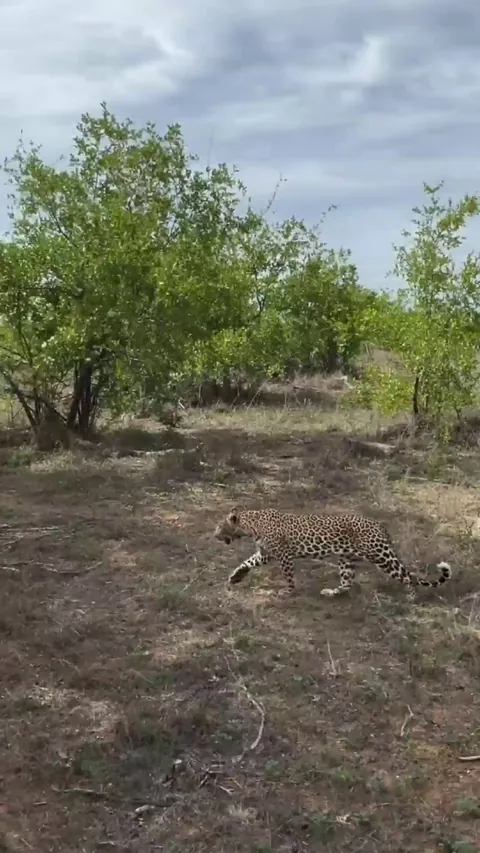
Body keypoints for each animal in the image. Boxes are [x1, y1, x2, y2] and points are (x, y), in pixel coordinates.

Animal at [214, 507, 452, 598]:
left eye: (219, 526)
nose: (214, 534)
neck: (250, 526)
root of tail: (380, 526)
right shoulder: (266, 553)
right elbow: (246, 563)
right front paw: (235, 577)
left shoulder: (283, 555)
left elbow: (288, 576)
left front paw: (288, 592)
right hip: (346, 559)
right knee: (347, 583)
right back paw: (331, 592)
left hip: (380, 555)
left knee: (405, 575)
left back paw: (411, 596)